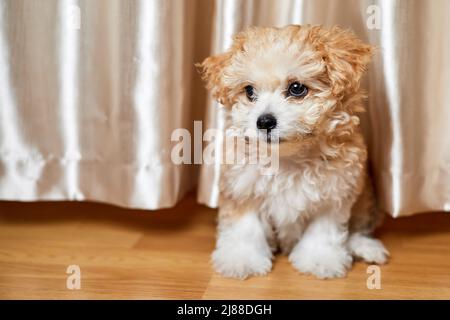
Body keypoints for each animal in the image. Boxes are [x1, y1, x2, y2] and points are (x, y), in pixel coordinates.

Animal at [199, 25, 388, 278]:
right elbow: (245, 227)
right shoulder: (241, 187)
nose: (264, 121)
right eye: (249, 91)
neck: (288, 157)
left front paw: (320, 259)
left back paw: (366, 247)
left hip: (365, 195)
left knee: (359, 226)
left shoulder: (335, 191)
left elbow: (323, 230)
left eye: (297, 88)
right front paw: (242, 258)